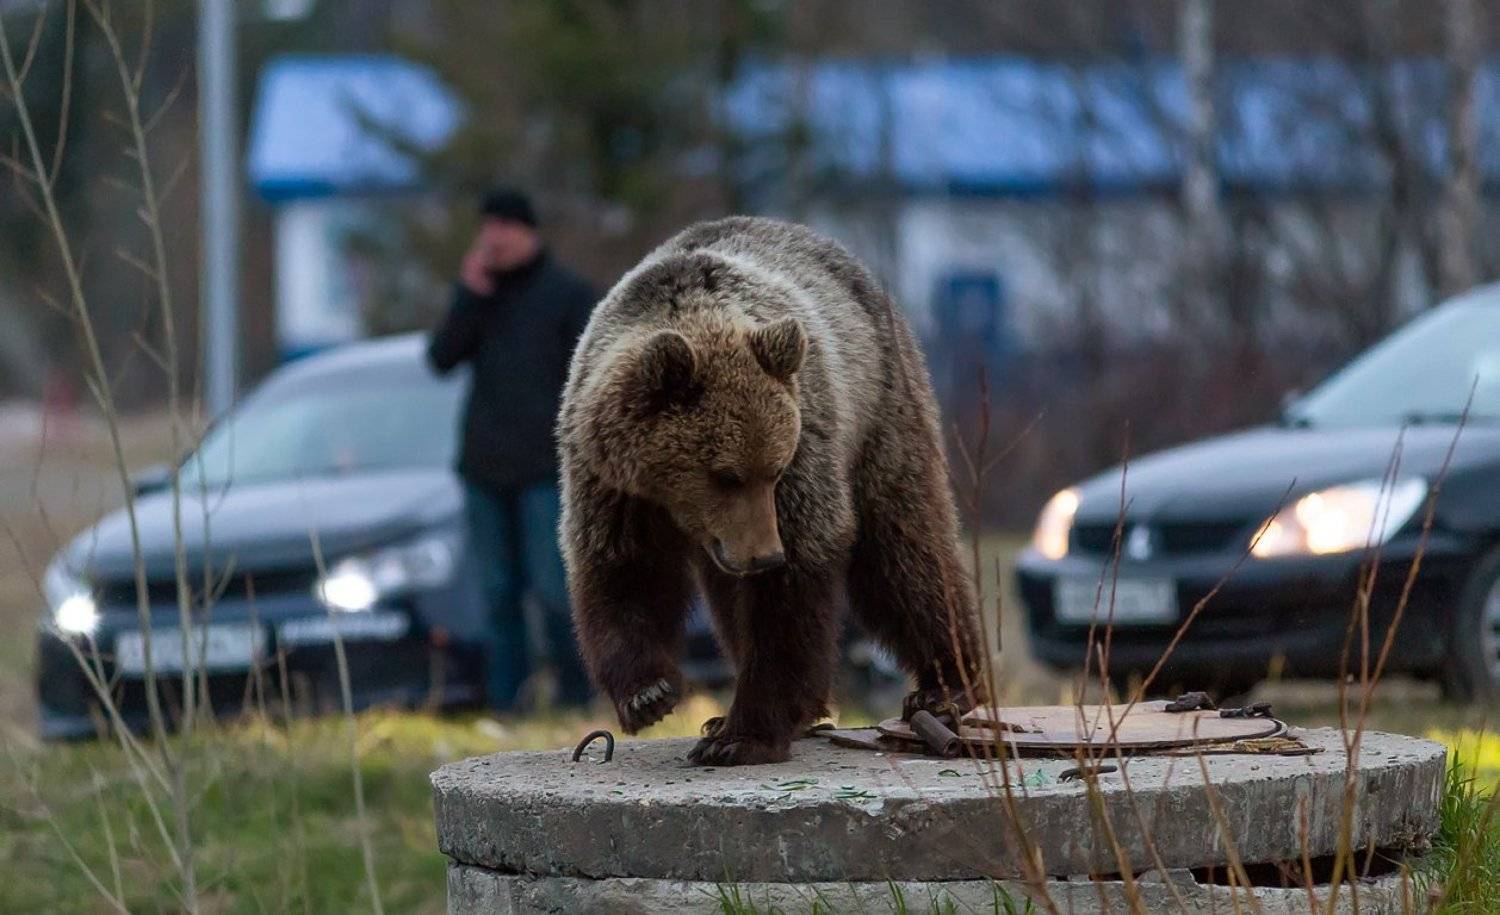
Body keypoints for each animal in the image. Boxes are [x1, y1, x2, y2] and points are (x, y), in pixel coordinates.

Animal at [556, 216, 987, 765]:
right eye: (726, 475)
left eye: (775, 470)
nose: (765, 555)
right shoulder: (611, 483)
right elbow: (625, 568)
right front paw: (648, 694)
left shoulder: (807, 452)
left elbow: (792, 596)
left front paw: (741, 736)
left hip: (882, 408)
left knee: (904, 548)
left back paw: (945, 685)